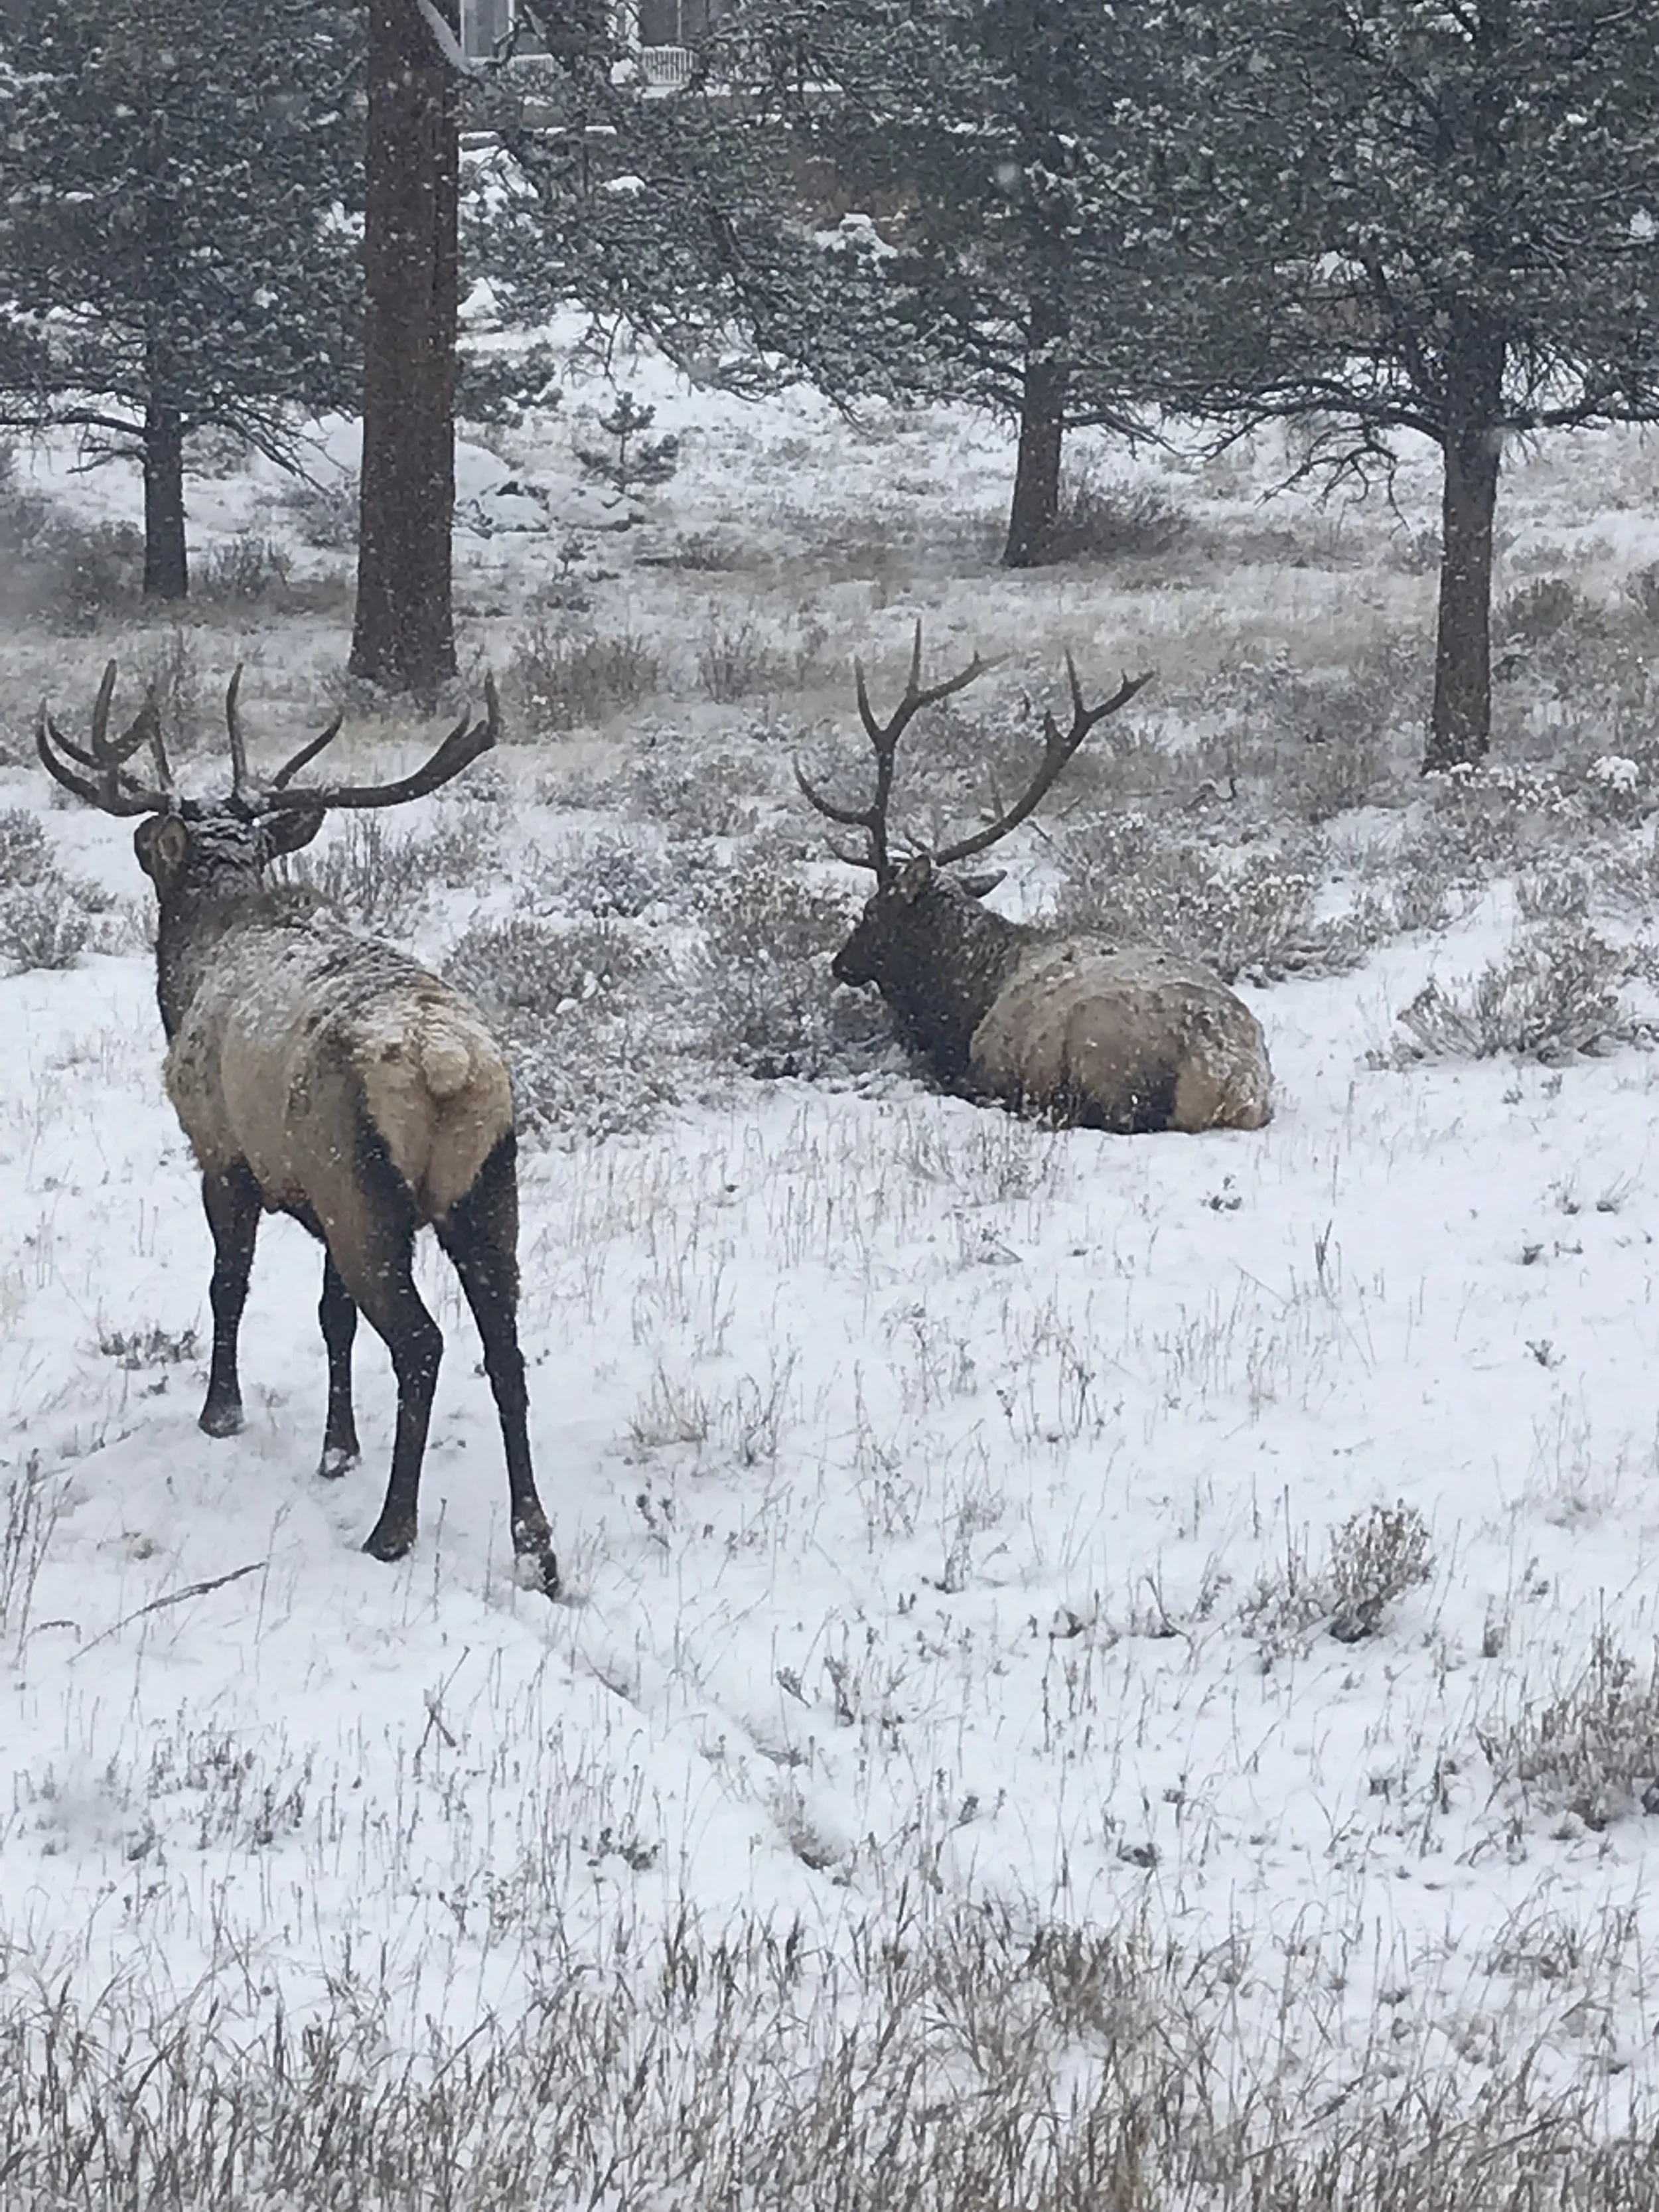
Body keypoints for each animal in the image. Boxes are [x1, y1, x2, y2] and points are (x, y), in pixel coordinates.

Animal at [37, 663, 559, 1595]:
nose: (142, 844)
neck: (195, 965)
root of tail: (447, 1071)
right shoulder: (313, 1189)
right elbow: (330, 1316)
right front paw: (335, 1449)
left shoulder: (223, 1154)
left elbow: (228, 1284)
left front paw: (221, 1411)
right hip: (480, 1188)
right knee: (505, 1350)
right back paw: (536, 1544)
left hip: (365, 1190)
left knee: (423, 1344)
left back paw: (393, 1530)